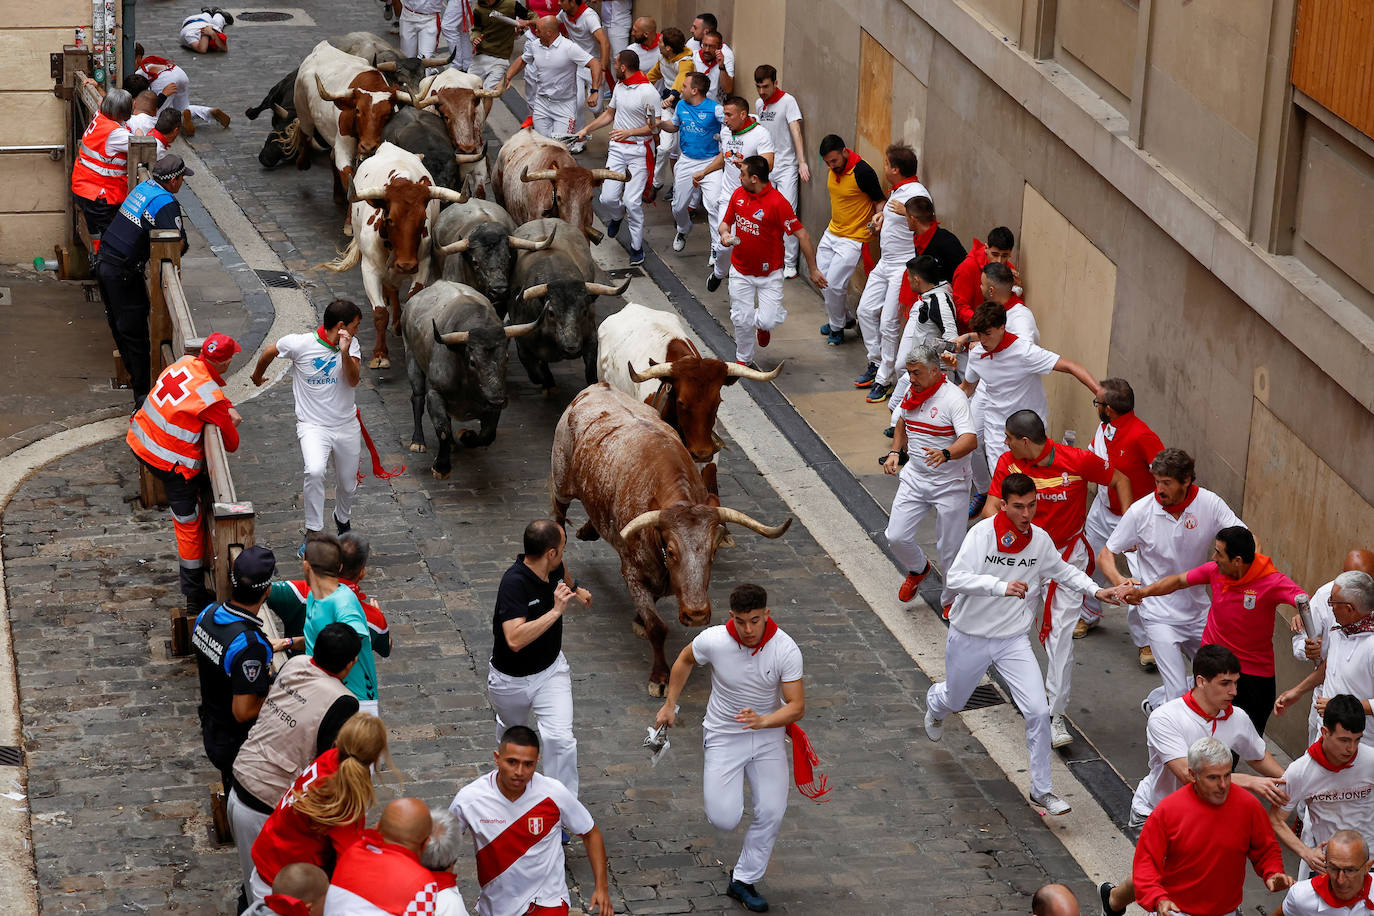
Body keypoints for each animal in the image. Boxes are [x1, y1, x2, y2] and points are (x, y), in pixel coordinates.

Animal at [544, 384, 785, 694]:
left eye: (713, 551)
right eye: (671, 551)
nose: (696, 614)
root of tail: (597, 387)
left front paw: (639, 621)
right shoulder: (633, 572)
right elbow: (657, 627)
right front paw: (659, 677)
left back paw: (589, 530)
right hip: (561, 477)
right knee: (558, 512)